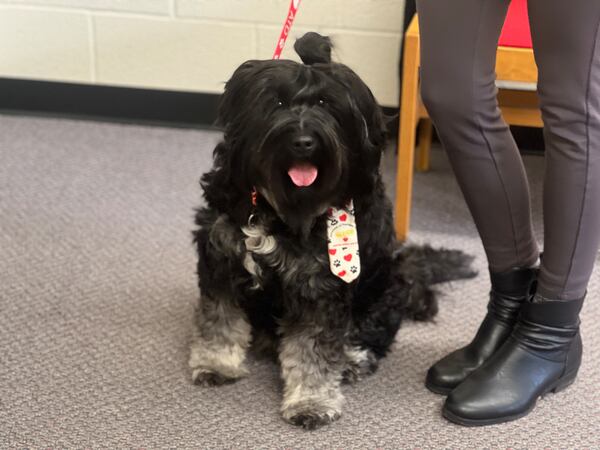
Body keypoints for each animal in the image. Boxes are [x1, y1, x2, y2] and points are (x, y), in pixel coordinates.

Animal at [190, 32, 476, 428]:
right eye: (277, 102)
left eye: (327, 105)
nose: (304, 141)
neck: (280, 208)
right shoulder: (220, 259)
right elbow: (219, 318)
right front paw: (215, 362)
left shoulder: (320, 289)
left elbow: (313, 350)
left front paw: (310, 401)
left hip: (384, 287)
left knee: (370, 334)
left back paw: (353, 360)